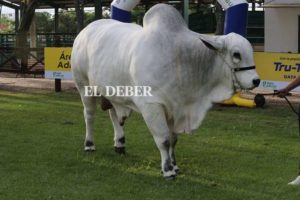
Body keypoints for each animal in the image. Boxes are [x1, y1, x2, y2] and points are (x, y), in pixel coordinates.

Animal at [71, 3, 260, 179]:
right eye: (236, 54)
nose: (256, 80)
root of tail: (85, 30)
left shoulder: (175, 109)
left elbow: (174, 140)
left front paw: (175, 165)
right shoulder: (152, 105)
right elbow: (164, 140)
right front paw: (168, 170)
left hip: (113, 93)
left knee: (114, 115)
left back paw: (119, 144)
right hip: (84, 86)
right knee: (89, 115)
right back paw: (89, 144)